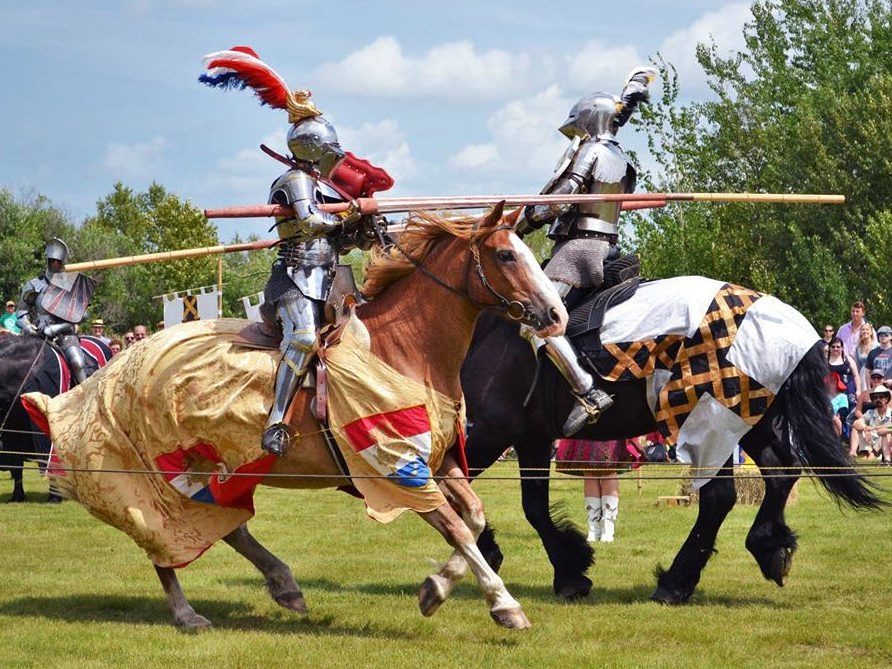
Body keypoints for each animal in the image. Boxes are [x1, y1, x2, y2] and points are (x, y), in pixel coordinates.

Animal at [24, 206, 568, 628]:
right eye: (506, 255)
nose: (556, 315)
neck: (402, 350)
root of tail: (119, 364)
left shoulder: (438, 462)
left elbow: (472, 518)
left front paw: (437, 587)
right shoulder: (397, 470)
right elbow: (456, 527)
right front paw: (502, 604)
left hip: (218, 470)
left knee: (227, 526)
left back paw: (284, 585)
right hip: (163, 469)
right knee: (162, 531)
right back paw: (186, 613)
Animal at [464, 274, 880, 604]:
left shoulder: (493, 430)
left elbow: (463, 491)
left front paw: (519, 560)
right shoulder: (529, 437)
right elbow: (530, 505)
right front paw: (567, 571)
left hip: (708, 420)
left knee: (718, 497)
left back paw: (675, 583)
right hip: (752, 418)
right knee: (781, 471)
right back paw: (770, 549)